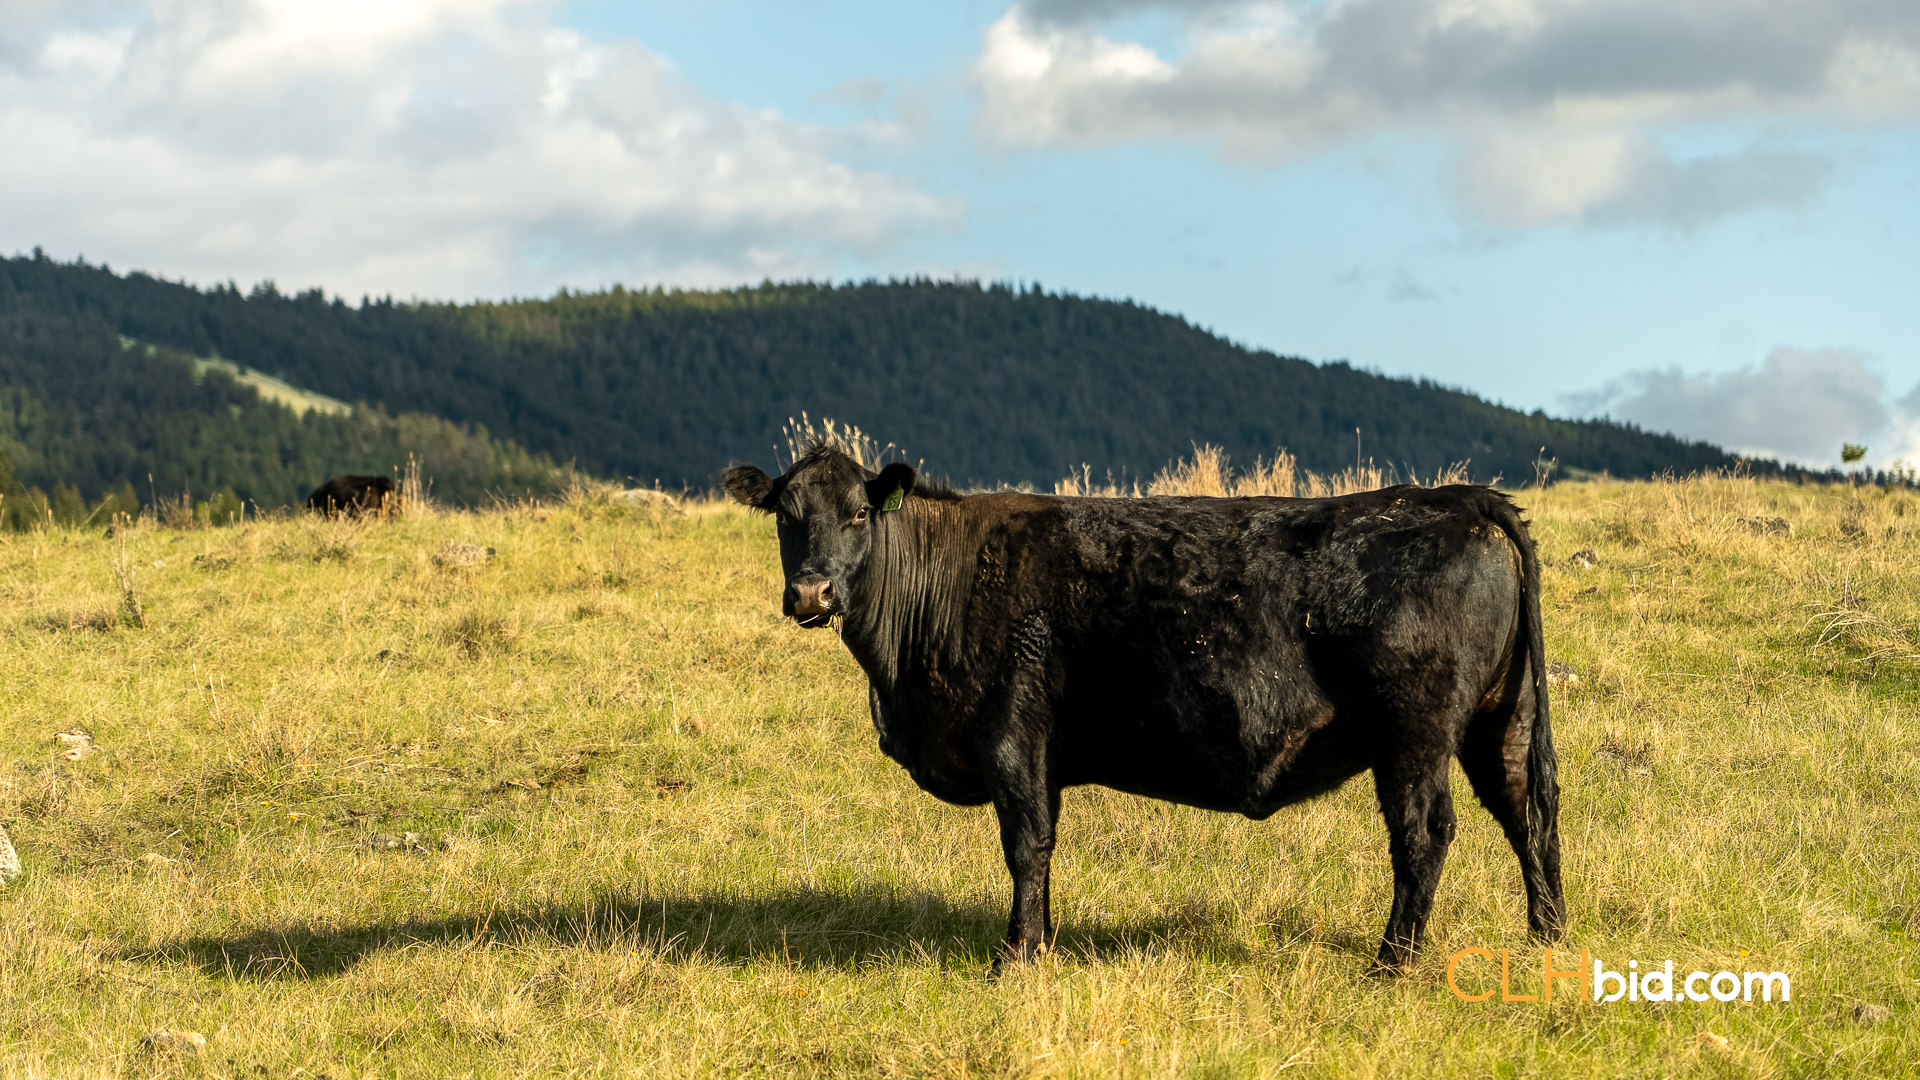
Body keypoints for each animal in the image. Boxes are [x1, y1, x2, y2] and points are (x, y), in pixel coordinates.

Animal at [723, 445, 1565, 975]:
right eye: (784, 515)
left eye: (860, 514)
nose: (811, 593)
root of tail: (1453, 498)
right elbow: (1042, 849)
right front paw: (1043, 945)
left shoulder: (1012, 736)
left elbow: (1025, 847)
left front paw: (1014, 958)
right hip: (1503, 719)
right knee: (1529, 811)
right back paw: (1547, 937)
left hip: (1415, 732)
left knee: (1425, 832)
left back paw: (1392, 962)